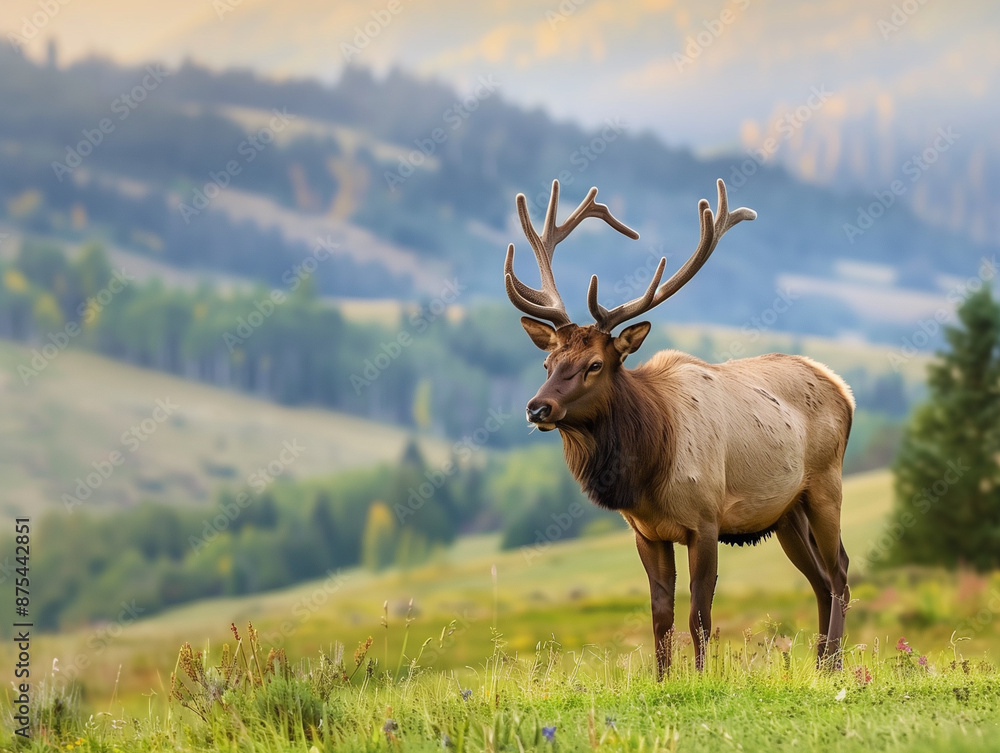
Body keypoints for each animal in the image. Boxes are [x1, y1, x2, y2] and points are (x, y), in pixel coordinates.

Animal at [504, 179, 854, 677]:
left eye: (594, 365)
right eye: (548, 362)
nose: (537, 407)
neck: (650, 470)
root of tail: (842, 388)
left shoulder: (705, 520)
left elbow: (699, 615)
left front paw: (703, 678)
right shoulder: (646, 532)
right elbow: (661, 616)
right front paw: (663, 678)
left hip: (826, 484)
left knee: (840, 571)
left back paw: (836, 664)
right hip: (787, 511)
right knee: (820, 579)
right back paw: (822, 664)